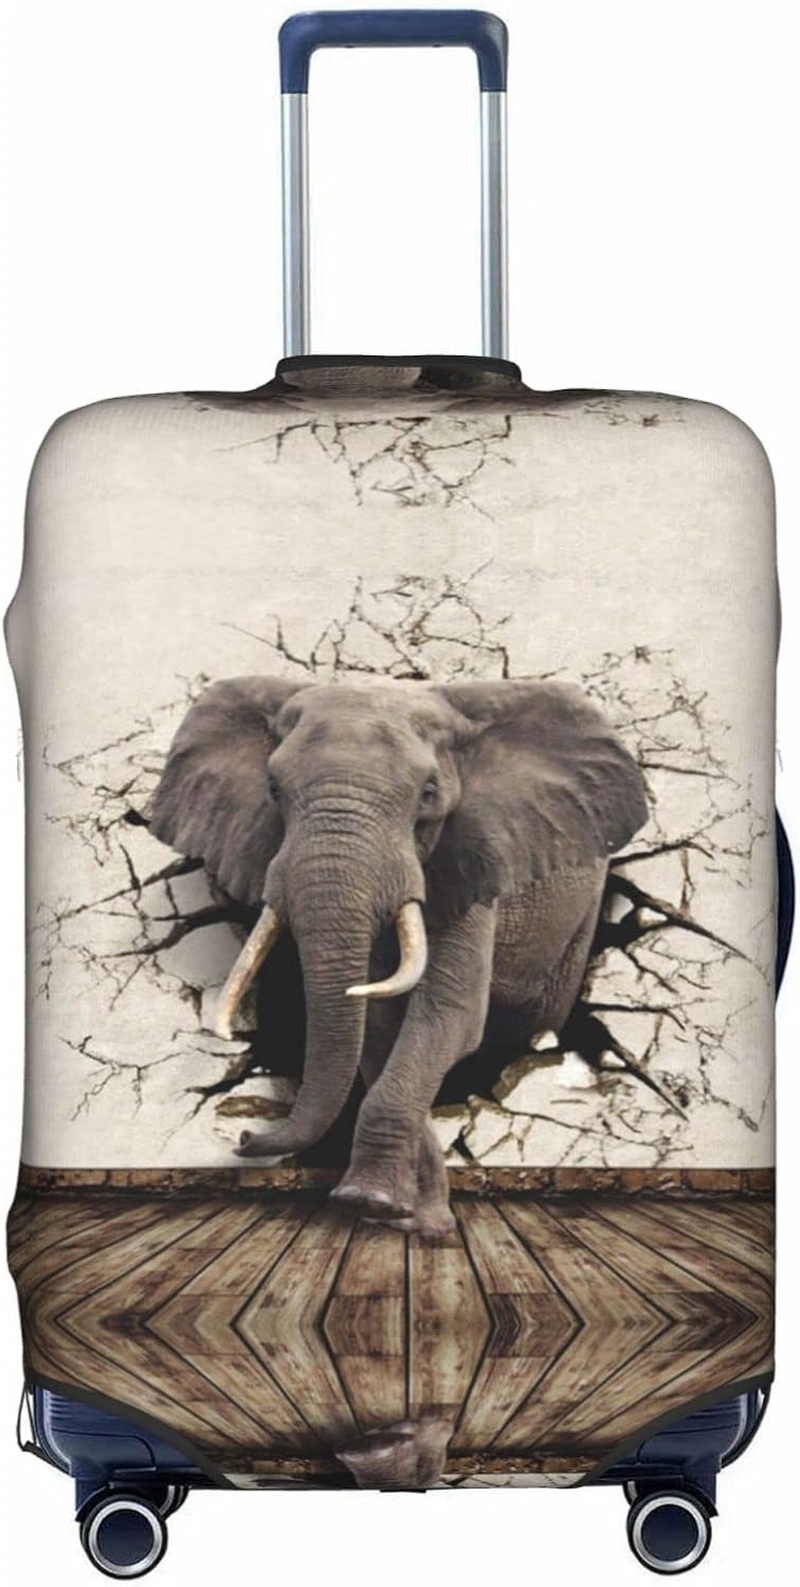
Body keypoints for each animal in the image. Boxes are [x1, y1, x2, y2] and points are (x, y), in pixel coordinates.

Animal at [150, 676, 648, 1235]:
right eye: (274, 790)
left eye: (428, 794)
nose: (243, 1138)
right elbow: (379, 1028)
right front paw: (413, 1220)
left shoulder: (470, 861)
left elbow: (449, 1016)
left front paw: (371, 1203)